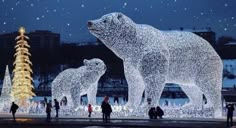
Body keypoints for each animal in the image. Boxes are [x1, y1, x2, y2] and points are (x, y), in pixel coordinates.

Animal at [88, 12, 223, 117]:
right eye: (102, 17)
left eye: (105, 20)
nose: (90, 22)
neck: (135, 44)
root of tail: (214, 50)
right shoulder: (132, 61)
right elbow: (135, 82)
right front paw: (128, 106)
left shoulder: (152, 55)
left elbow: (154, 80)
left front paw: (145, 107)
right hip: (186, 69)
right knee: (190, 87)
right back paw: (190, 106)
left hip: (204, 63)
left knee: (209, 84)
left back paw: (211, 108)